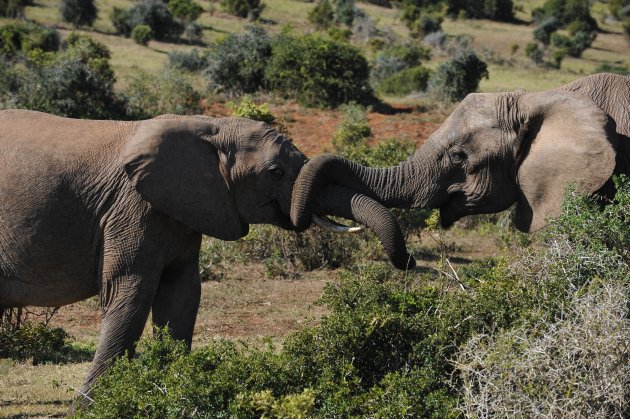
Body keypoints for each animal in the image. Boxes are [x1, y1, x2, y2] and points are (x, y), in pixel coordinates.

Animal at [0, 110, 414, 398]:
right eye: (276, 173)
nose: (407, 264)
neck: (208, 127)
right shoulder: (131, 208)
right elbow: (129, 295)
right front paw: (93, 406)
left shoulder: (181, 211)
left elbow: (181, 297)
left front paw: (174, 389)